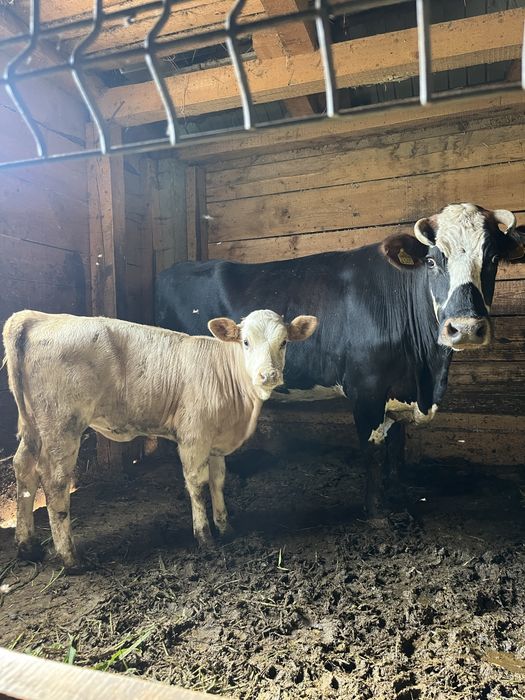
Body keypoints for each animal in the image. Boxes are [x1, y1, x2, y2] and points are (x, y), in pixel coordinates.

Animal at [3, 309, 318, 568]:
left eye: (284, 342)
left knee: (24, 469)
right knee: (55, 481)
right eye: (246, 342)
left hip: (34, 426)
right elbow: (197, 484)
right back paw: (70, 558)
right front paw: (204, 536)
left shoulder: (216, 442)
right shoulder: (193, 436)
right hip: (62, 424)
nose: (268, 375)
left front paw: (225, 527)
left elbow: (218, 481)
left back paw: (27, 547)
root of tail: (37, 317)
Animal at [155, 204, 525, 519]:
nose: (465, 327)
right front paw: (377, 514)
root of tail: (174, 268)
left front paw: (398, 493)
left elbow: (397, 446)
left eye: (492, 258)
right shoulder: (366, 388)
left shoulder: (398, 387)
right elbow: (373, 449)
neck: (425, 375)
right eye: (433, 261)